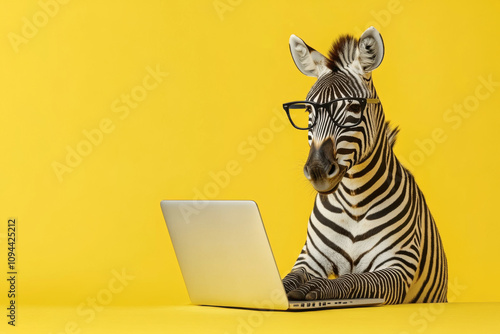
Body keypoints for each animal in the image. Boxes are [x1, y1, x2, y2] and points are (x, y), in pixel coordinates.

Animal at [282, 26, 450, 304]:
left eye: (353, 106)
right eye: (308, 111)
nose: (317, 170)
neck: (354, 202)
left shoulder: (397, 266)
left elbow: (353, 280)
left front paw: (314, 288)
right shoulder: (310, 259)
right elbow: (285, 279)